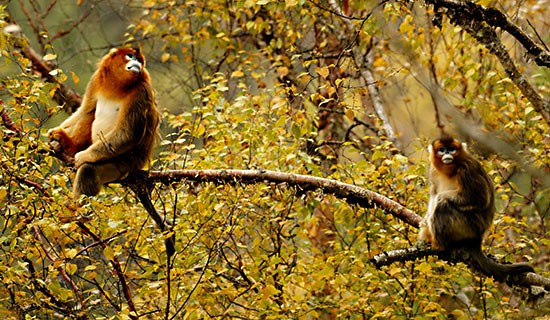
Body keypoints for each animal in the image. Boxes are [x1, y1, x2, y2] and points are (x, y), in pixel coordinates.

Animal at [49, 47, 160, 200]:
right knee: (88, 115)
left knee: (88, 170)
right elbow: (85, 110)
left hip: (123, 165)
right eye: (130, 56)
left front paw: (83, 156)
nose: (137, 63)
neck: (118, 86)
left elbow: (128, 133)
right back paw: (67, 144)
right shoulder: (96, 80)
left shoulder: (141, 91)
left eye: (139, 60)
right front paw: (56, 133)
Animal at [422, 135, 536, 280]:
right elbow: (433, 194)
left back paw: (441, 244)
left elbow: (479, 198)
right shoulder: (433, 171)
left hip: (468, 227)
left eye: (452, 149)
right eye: (442, 150)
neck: (450, 170)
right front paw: (425, 220)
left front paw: (440, 198)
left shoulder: (467, 169)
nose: (447, 153)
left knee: (444, 206)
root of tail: (478, 238)